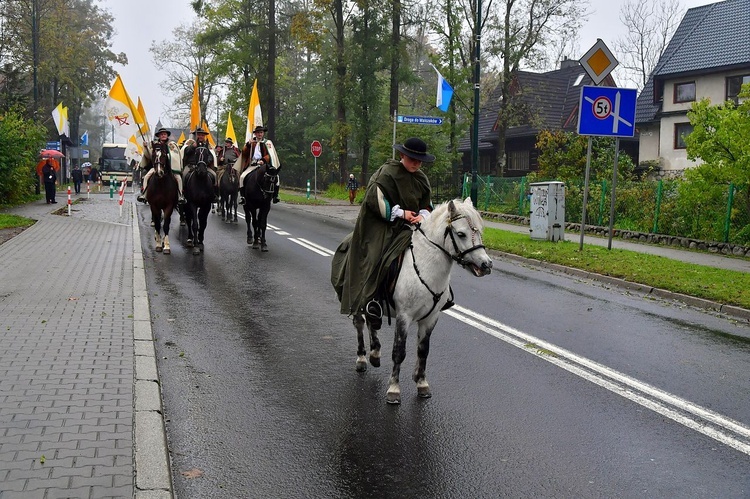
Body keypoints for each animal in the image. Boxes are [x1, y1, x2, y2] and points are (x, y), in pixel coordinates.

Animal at [352, 197, 494, 404]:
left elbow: (423, 350)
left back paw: (375, 354)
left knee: (372, 323)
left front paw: (421, 383)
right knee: (360, 323)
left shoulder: (430, 318)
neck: (426, 267)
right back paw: (362, 358)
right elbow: (399, 351)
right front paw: (394, 389)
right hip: (356, 299)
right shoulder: (404, 317)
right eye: (461, 234)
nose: (486, 265)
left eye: (480, 231)